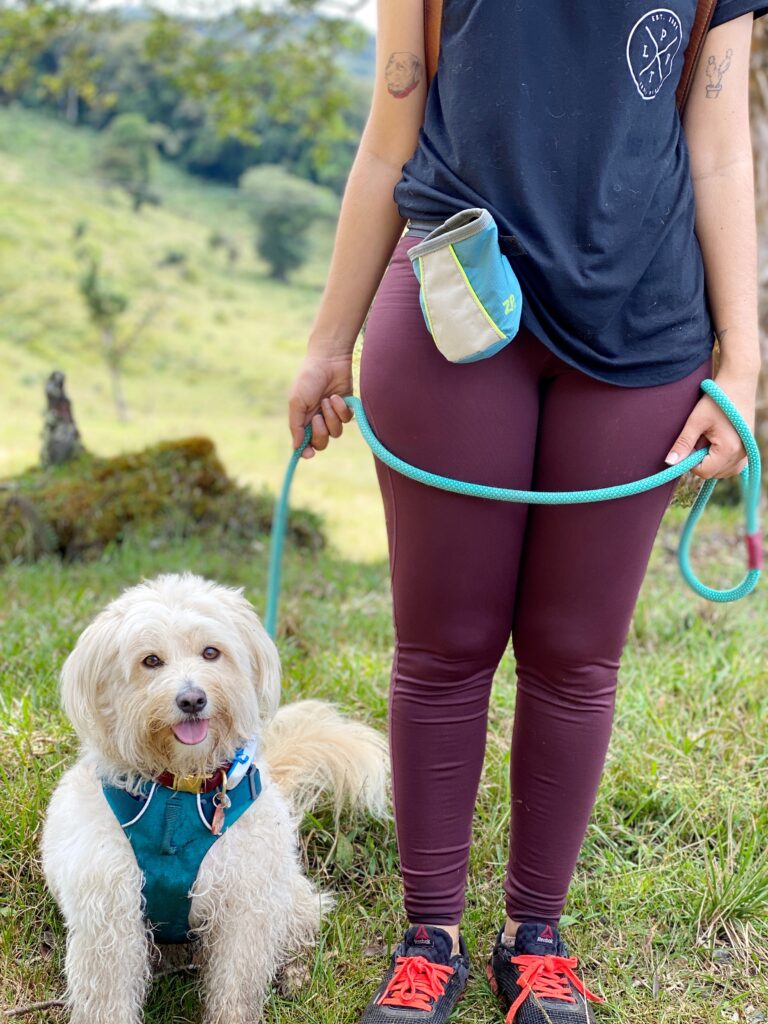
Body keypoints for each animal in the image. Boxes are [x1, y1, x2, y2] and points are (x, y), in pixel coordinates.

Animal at [41, 573, 387, 1019]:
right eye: (150, 661)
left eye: (211, 652)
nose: (192, 699)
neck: (178, 792)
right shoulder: (109, 913)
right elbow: (108, 996)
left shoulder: (245, 904)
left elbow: (236, 985)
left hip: (285, 895)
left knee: (302, 927)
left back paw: (294, 973)